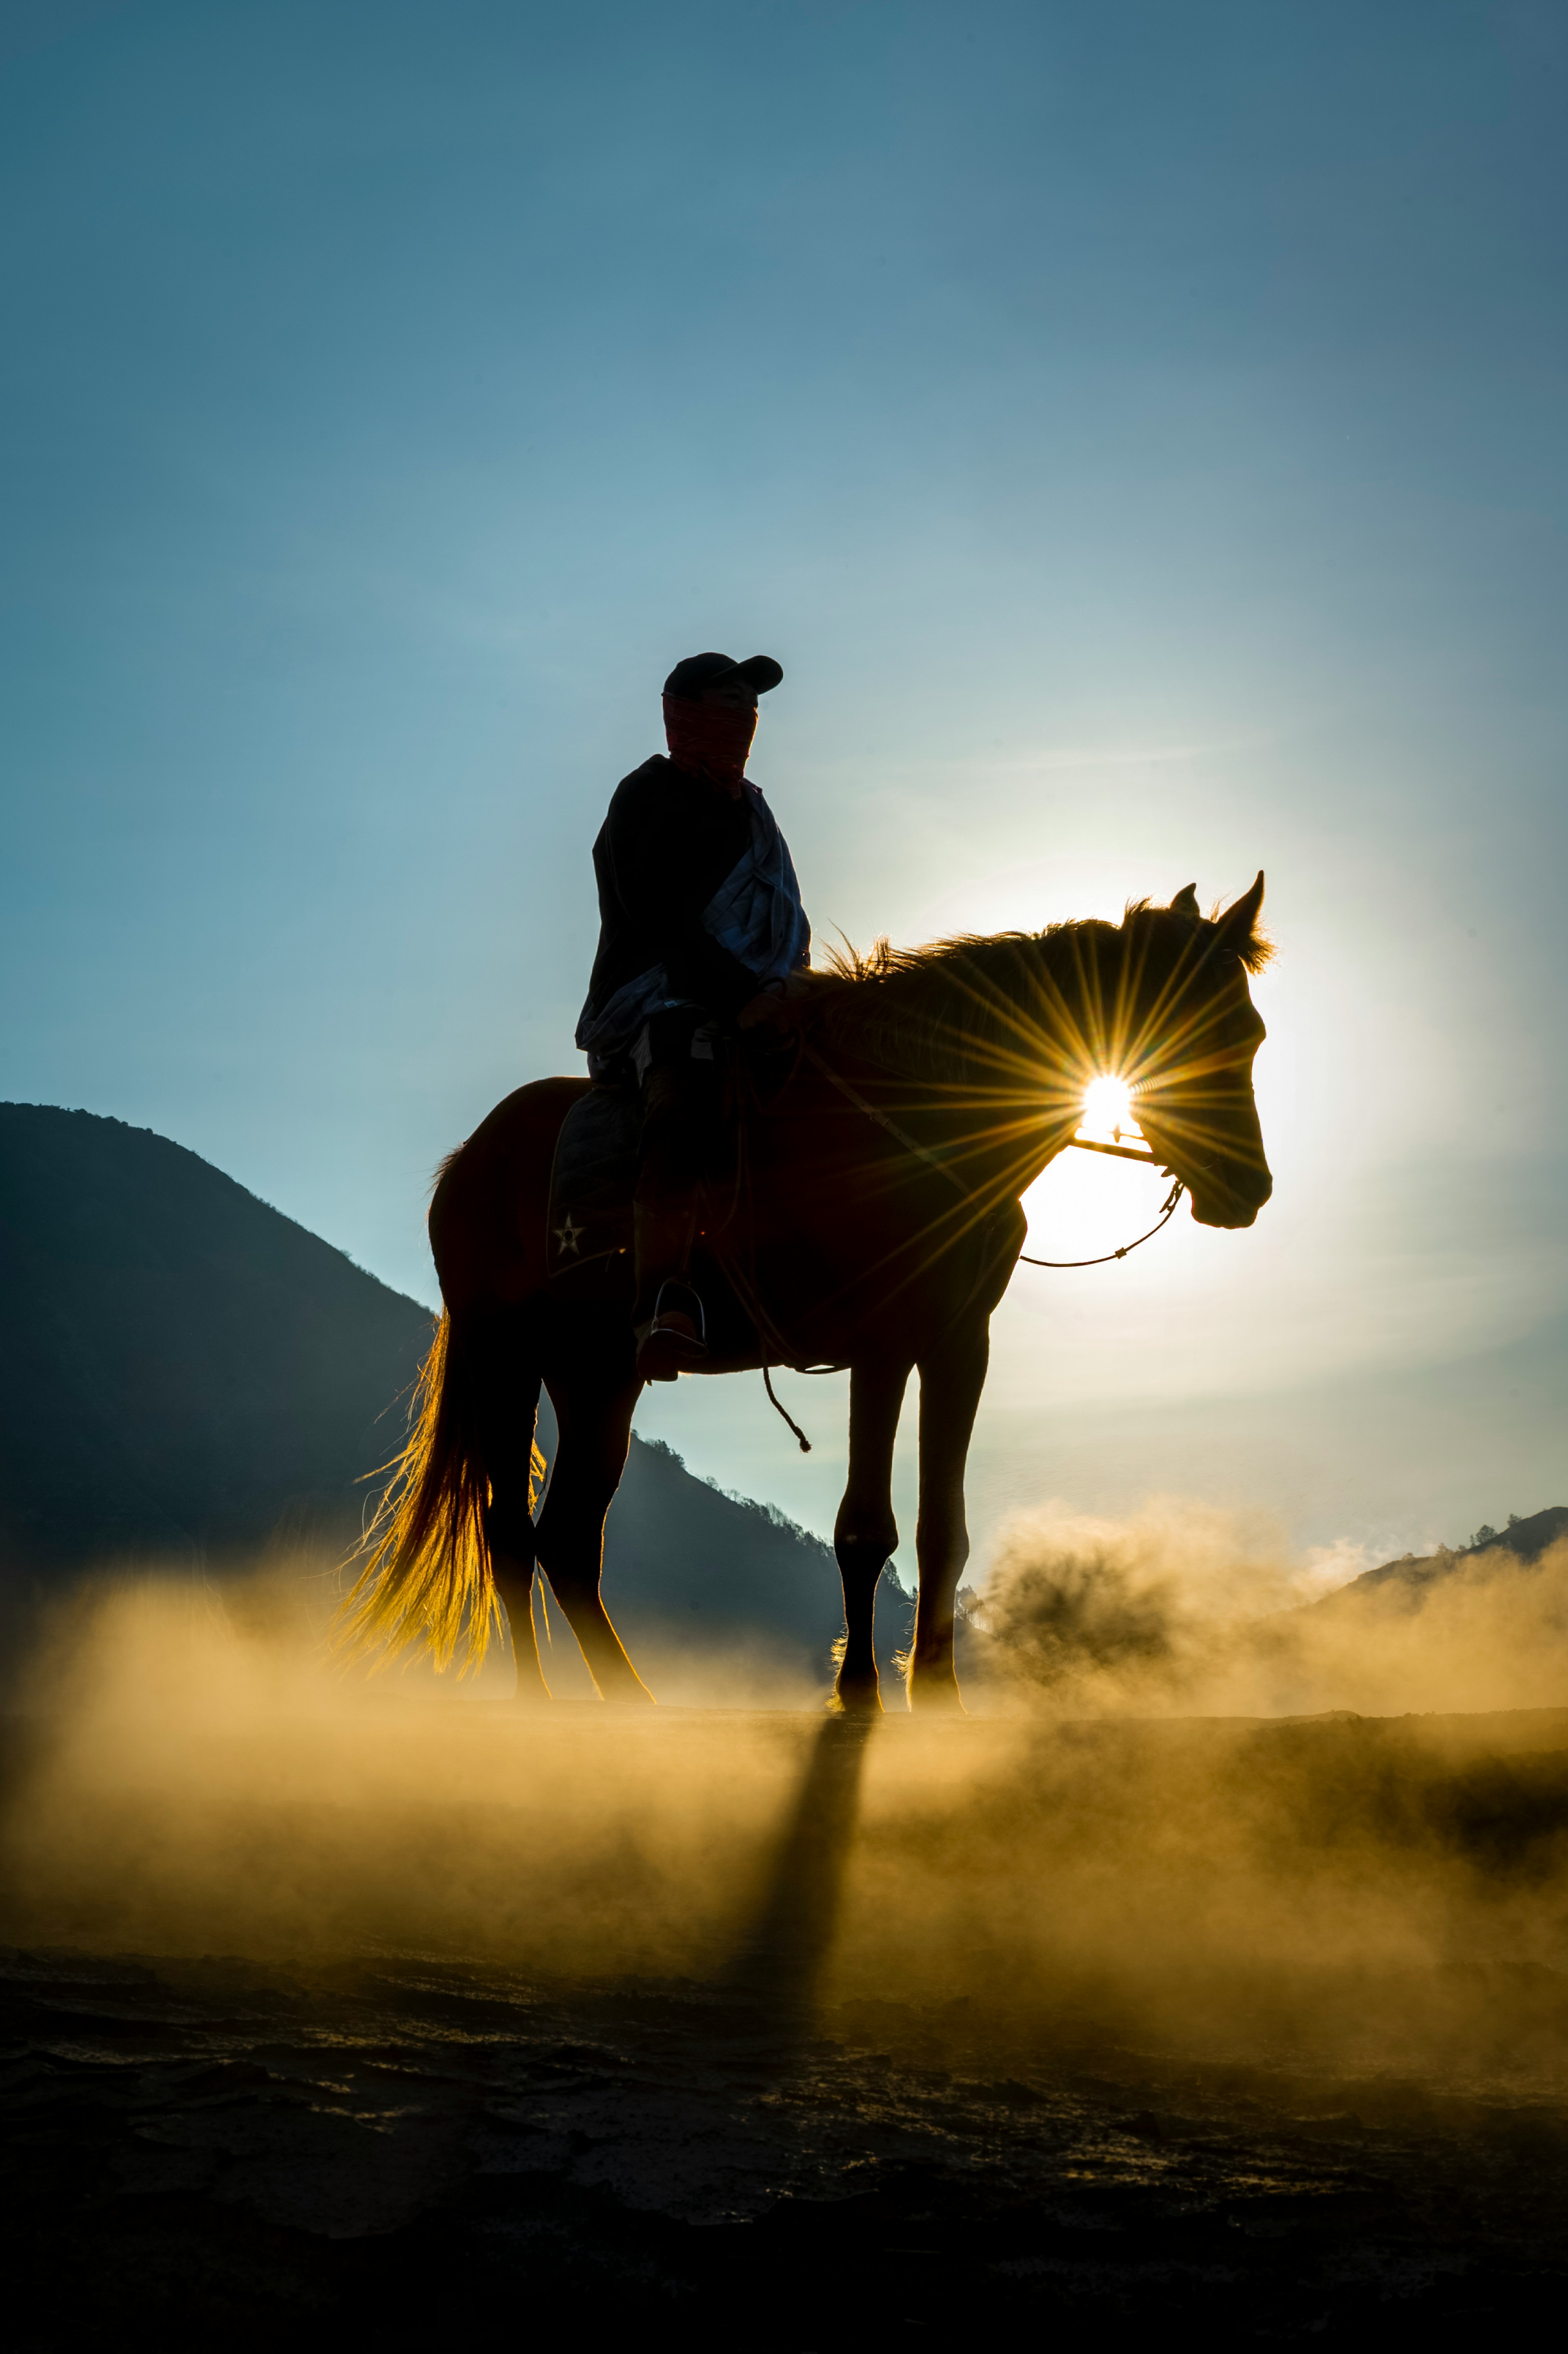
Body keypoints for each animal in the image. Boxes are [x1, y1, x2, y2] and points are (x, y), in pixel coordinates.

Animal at [341, 871, 1271, 1713]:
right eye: (1190, 1024)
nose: (1249, 1188)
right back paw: (540, 1698)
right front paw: (858, 1690)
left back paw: (630, 1696)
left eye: (1253, 1032)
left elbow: (943, 1528)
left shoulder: (958, 1345)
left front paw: (938, 1695)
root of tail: (468, 1160)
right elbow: (865, 1528)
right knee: (508, 1533)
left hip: (598, 1376)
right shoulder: (884, 1345)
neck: (917, 1118)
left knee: (568, 1538)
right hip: (504, 1358)